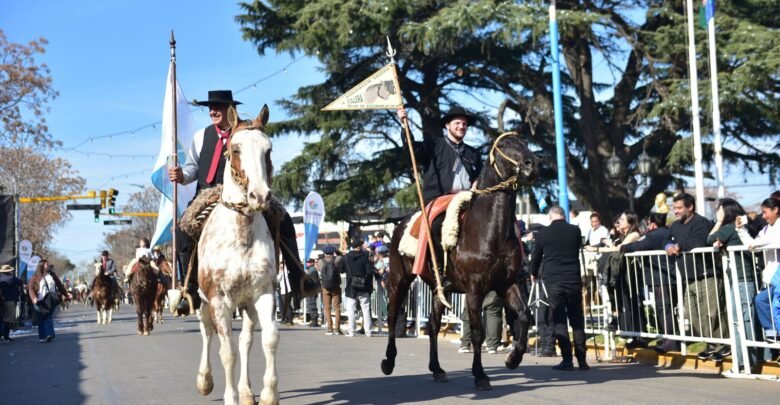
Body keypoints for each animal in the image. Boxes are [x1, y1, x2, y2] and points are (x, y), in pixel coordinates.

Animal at [195, 105, 279, 405]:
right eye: (235, 148)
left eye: (268, 150)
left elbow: (269, 338)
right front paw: (229, 396)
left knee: (246, 340)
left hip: (247, 304)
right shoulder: (219, 300)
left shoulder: (264, 293)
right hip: (203, 301)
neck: (241, 235)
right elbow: (226, 351)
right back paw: (205, 380)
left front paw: (268, 394)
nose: (260, 196)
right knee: (207, 332)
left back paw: (245, 391)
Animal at [381, 131, 538, 390]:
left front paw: (513, 358)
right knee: (393, 316)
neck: (490, 231)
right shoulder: (475, 289)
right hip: (398, 279)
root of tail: (401, 223)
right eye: (505, 145)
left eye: (525, 143)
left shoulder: (507, 284)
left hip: (438, 290)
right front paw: (480, 375)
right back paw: (388, 362)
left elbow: (525, 315)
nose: (532, 164)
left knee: (433, 325)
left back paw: (437, 369)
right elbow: (477, 332)